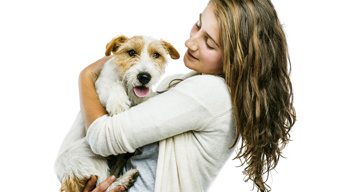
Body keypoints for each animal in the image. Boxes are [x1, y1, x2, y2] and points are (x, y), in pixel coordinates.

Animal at [55, 35, 180, 192]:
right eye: (131, 52)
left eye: (156, 55)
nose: (144, 77)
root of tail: (66, 180)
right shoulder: (102, 85)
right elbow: (114, 85)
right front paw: (118, 103)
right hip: (86, 157)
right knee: (104, 185)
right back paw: (125, 179)